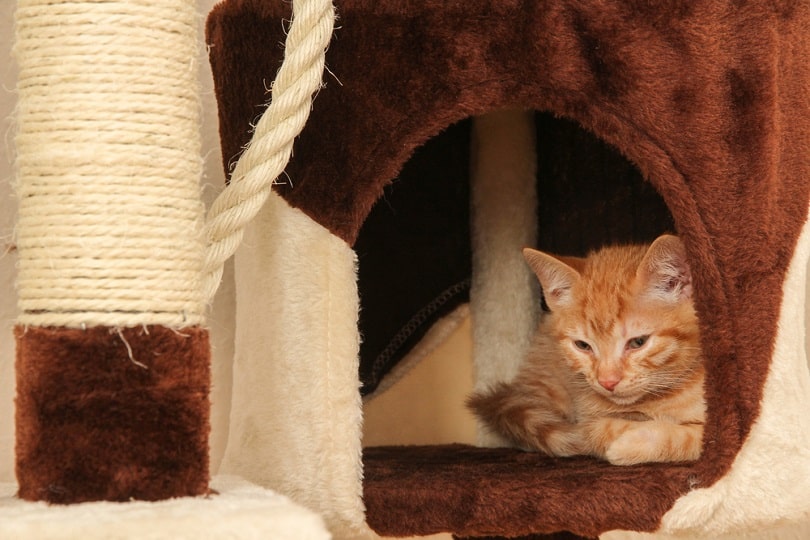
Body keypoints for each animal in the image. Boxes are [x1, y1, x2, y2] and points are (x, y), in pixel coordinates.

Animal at [464, 234, 704, 466]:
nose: (607, 382)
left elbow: (693, 438)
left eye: (638, 342)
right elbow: (595, 429)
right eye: (582, 345)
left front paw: (633, 443)